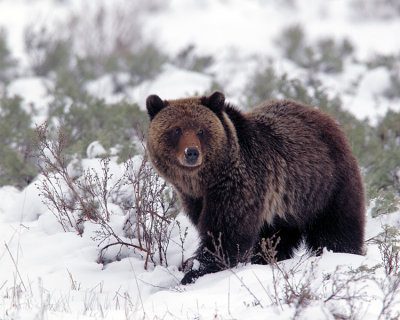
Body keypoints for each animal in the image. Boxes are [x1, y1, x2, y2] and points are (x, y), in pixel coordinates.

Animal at [145, 91, 364, 284]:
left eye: (201, 130)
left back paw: (342, 253)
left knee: (337, 228)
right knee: (276, 239)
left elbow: (225, 235)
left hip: (326, 186)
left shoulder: (238, 186)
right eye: (176, 129)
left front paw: (195, 273)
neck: (205, 180)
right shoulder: (195, 198)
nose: (191, 152)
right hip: (284, 210)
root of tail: (324, 116)